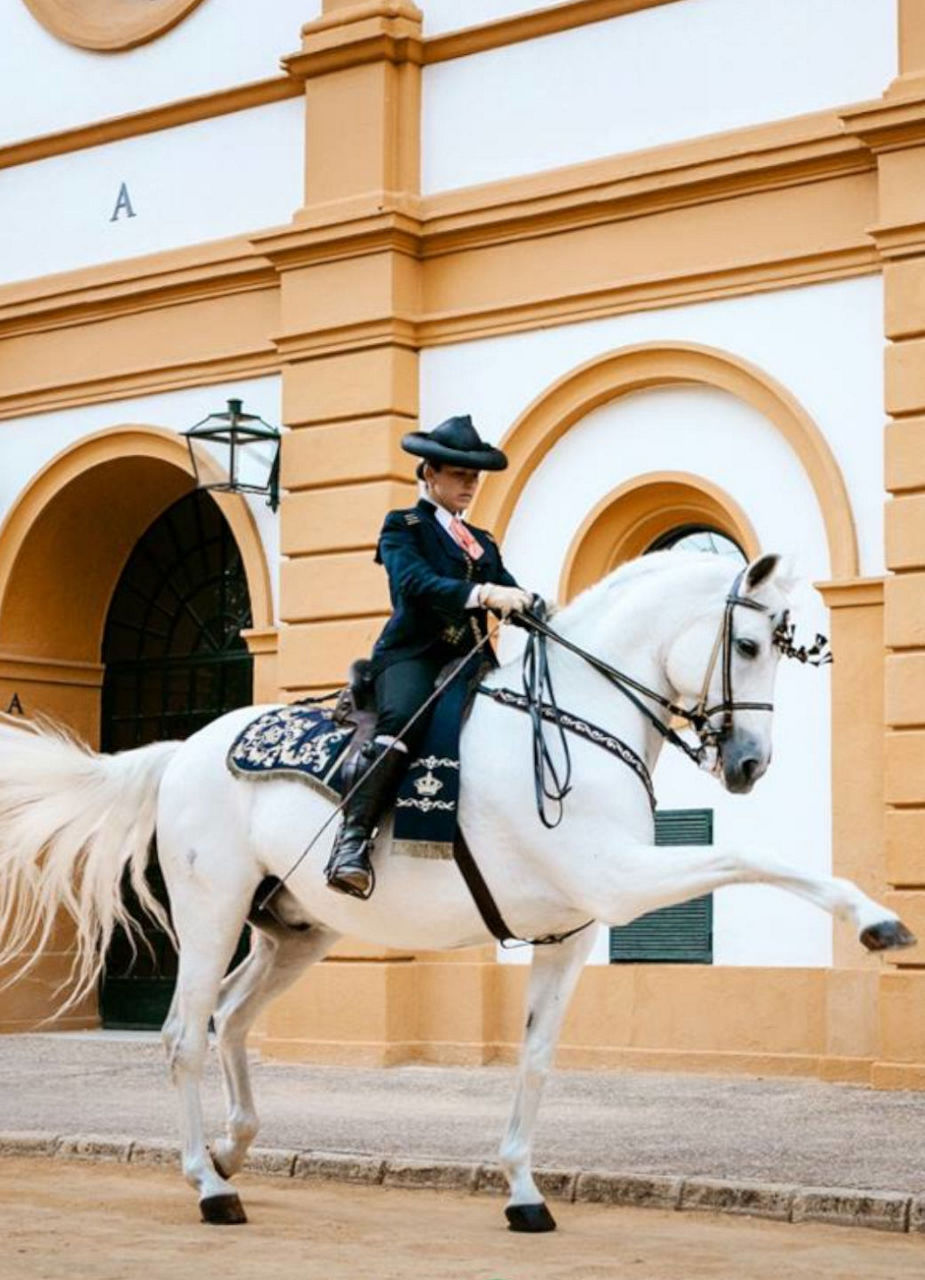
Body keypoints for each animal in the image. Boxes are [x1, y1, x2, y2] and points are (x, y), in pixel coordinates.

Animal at [0, 550, 916, 1228]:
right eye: (753, 647)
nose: (749, 764)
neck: (578, 718)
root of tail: (186, 749)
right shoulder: (619, 880)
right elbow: (750, 857)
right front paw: (876, 922)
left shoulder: (572, 933)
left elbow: (537, 1060)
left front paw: (522, 1191)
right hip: (211, 911)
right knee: (185, 1033)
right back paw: (208, 1181)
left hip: (295, 932)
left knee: (231, 1019)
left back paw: (233, 1149)